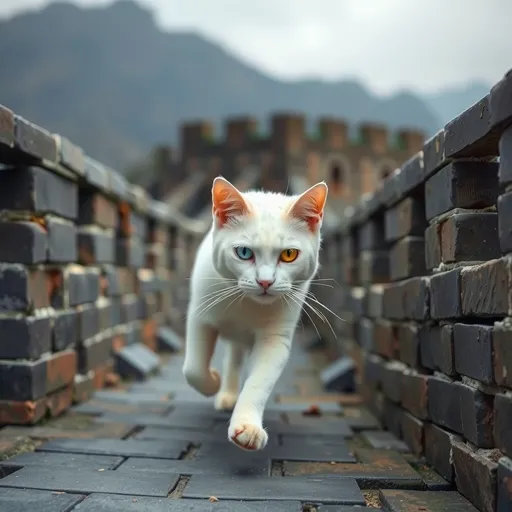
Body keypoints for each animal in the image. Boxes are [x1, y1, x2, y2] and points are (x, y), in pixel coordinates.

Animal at [183, 178, 328, 450]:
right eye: (244, 253)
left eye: (289, 254)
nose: (265, 282)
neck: (247, 305)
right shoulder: (200, 319)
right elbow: (193, 369)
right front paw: (212, 382)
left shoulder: (275, 339)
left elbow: (258, 382)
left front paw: (247, 427)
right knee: (230, 360)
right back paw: (225, 393)